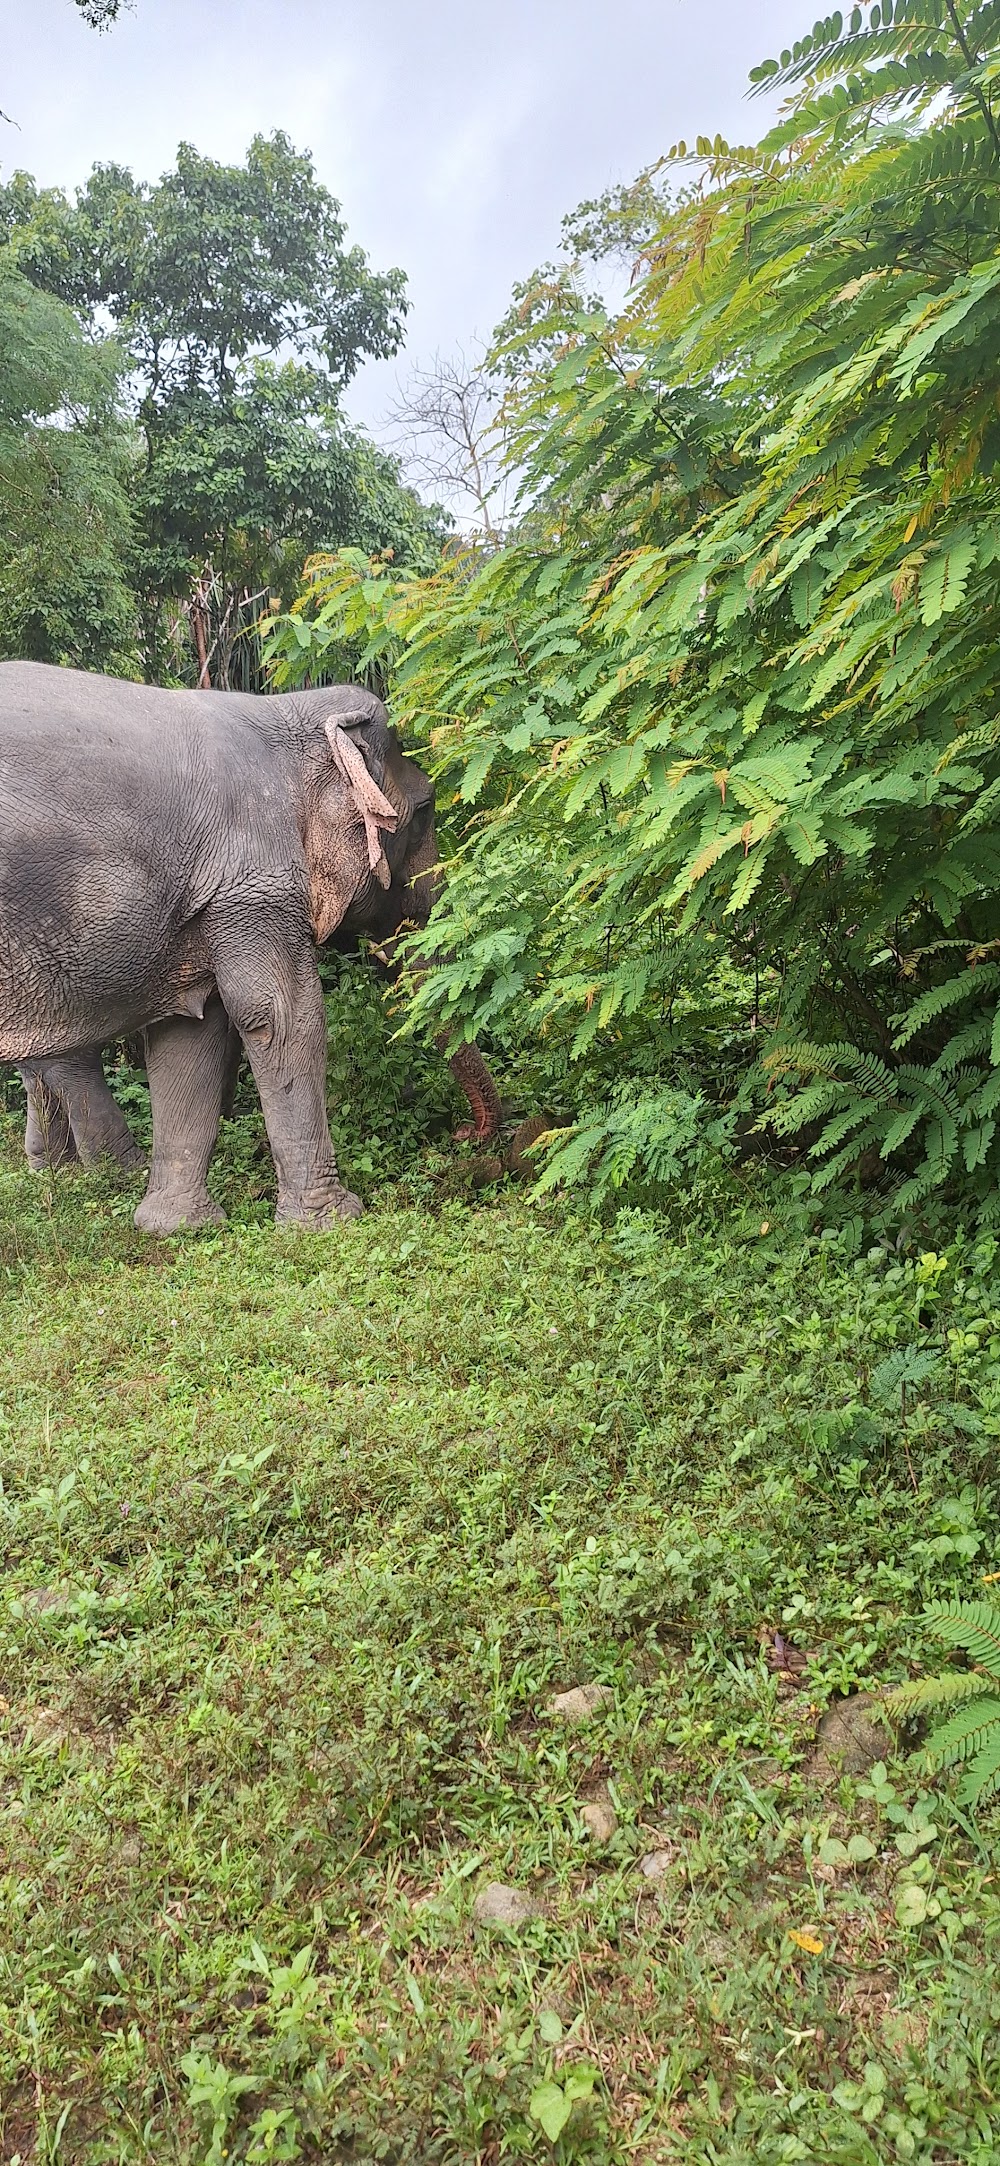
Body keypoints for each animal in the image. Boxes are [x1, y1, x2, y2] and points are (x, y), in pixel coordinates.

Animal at [0, 658, 495, 1238]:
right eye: (426, 811)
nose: (468, 1138)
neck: (285, 709)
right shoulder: (253, 881)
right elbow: (283, 1017)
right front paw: (331, 1222)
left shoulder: (211, 899)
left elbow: (188, 1037)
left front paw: (175, 1228)